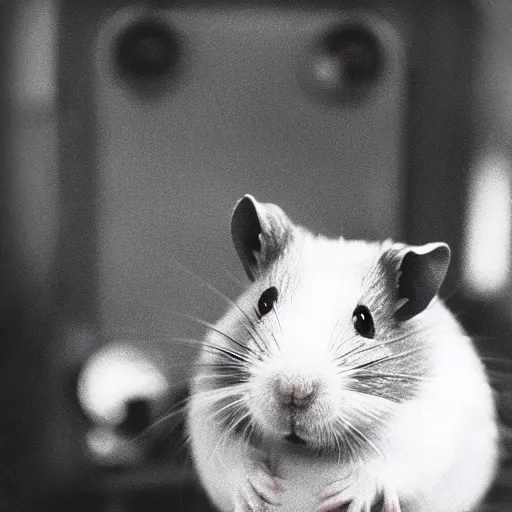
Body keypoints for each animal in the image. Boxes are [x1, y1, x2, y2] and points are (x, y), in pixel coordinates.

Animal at [187, 194, 496, 510]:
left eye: (365, 321)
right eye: (264, 302)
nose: (293, 392)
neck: (305, 449)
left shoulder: (425, 431)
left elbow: (384, 468)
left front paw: (339, 495)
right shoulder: (209, 410)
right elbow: (230, 462)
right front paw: (263, 491)